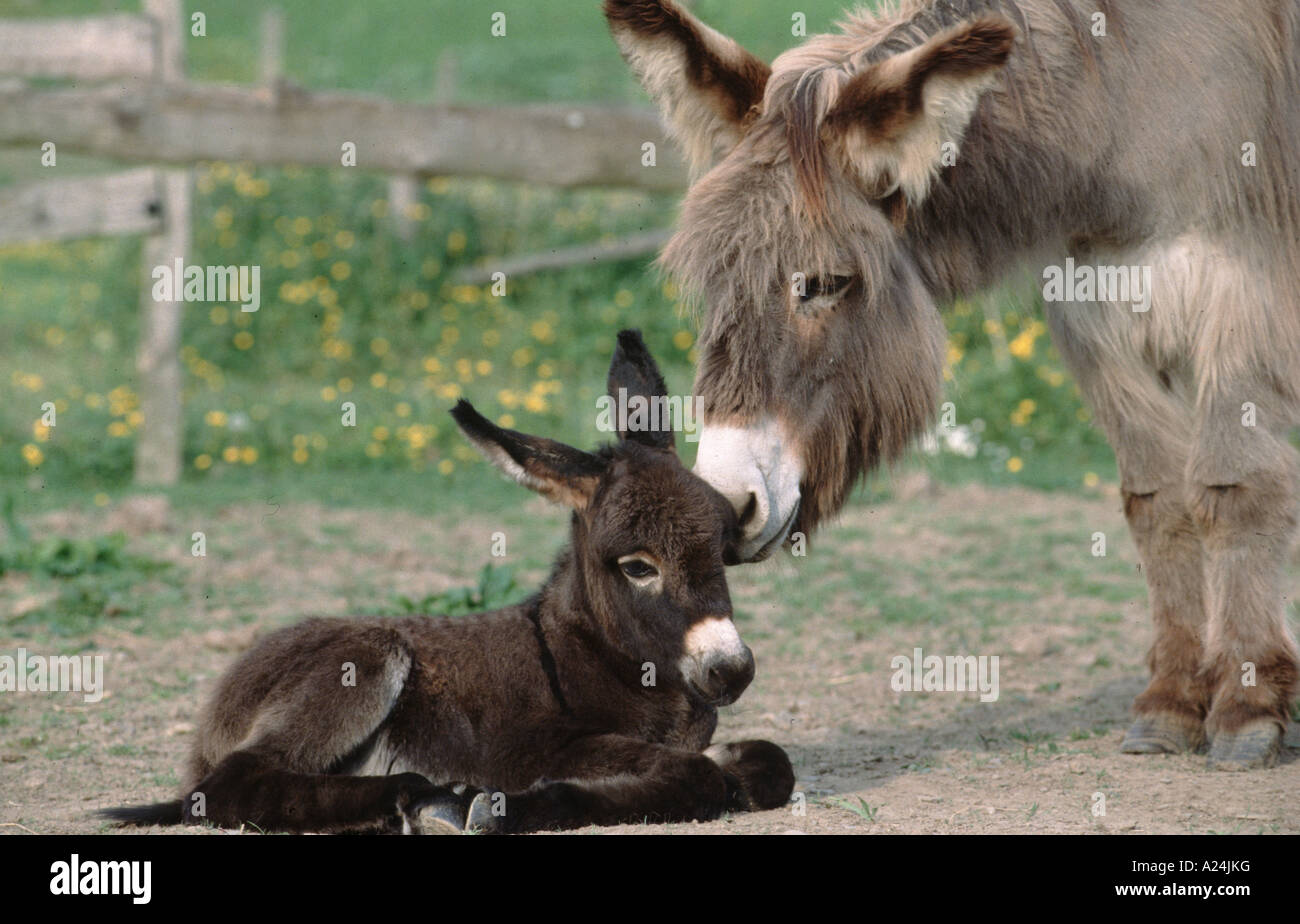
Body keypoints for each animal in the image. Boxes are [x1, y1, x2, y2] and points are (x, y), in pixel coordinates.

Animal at [106, 335, 790, 836]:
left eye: (722, 547)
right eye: (638, 566)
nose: (732, 669)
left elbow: (766, 764)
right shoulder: (529, 749)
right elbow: (696, 778)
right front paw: (509, 808)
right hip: (366, 655)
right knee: (232, 784)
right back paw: (421, 796)